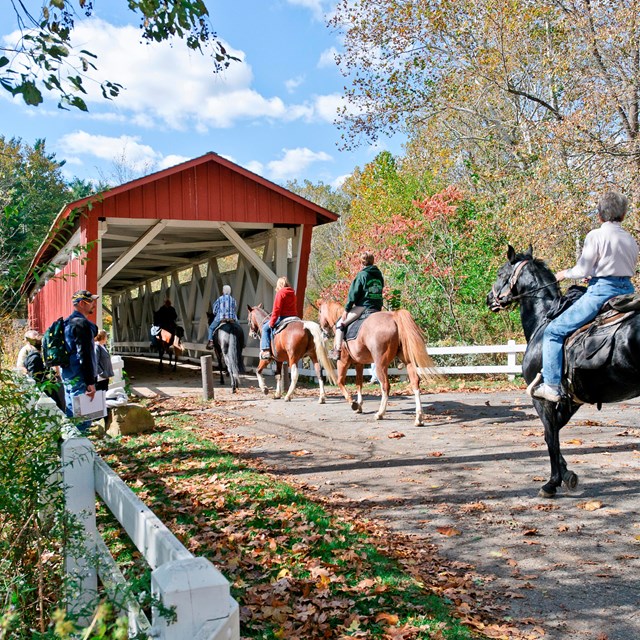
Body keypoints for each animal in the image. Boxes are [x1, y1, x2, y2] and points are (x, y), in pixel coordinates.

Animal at [488, 248, 640, 498]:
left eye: (501, 272)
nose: (489, 299)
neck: (544, 319)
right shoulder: (572, 399)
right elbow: (554, 431)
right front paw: (567, 474)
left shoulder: (542, 397)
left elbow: (550, 435)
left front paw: (552, 482)